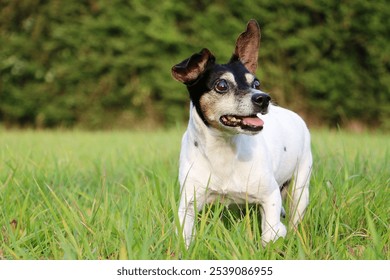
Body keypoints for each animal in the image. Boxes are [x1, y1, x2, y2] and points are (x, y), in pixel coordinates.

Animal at [172, 19, 312, 247]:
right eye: (221, 85)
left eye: (256, 83)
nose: (263, 98)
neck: (223, 149)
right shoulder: (188, 204)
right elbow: (184, 238)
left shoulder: (271, 196)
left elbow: (270, 234)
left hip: (300, 187)